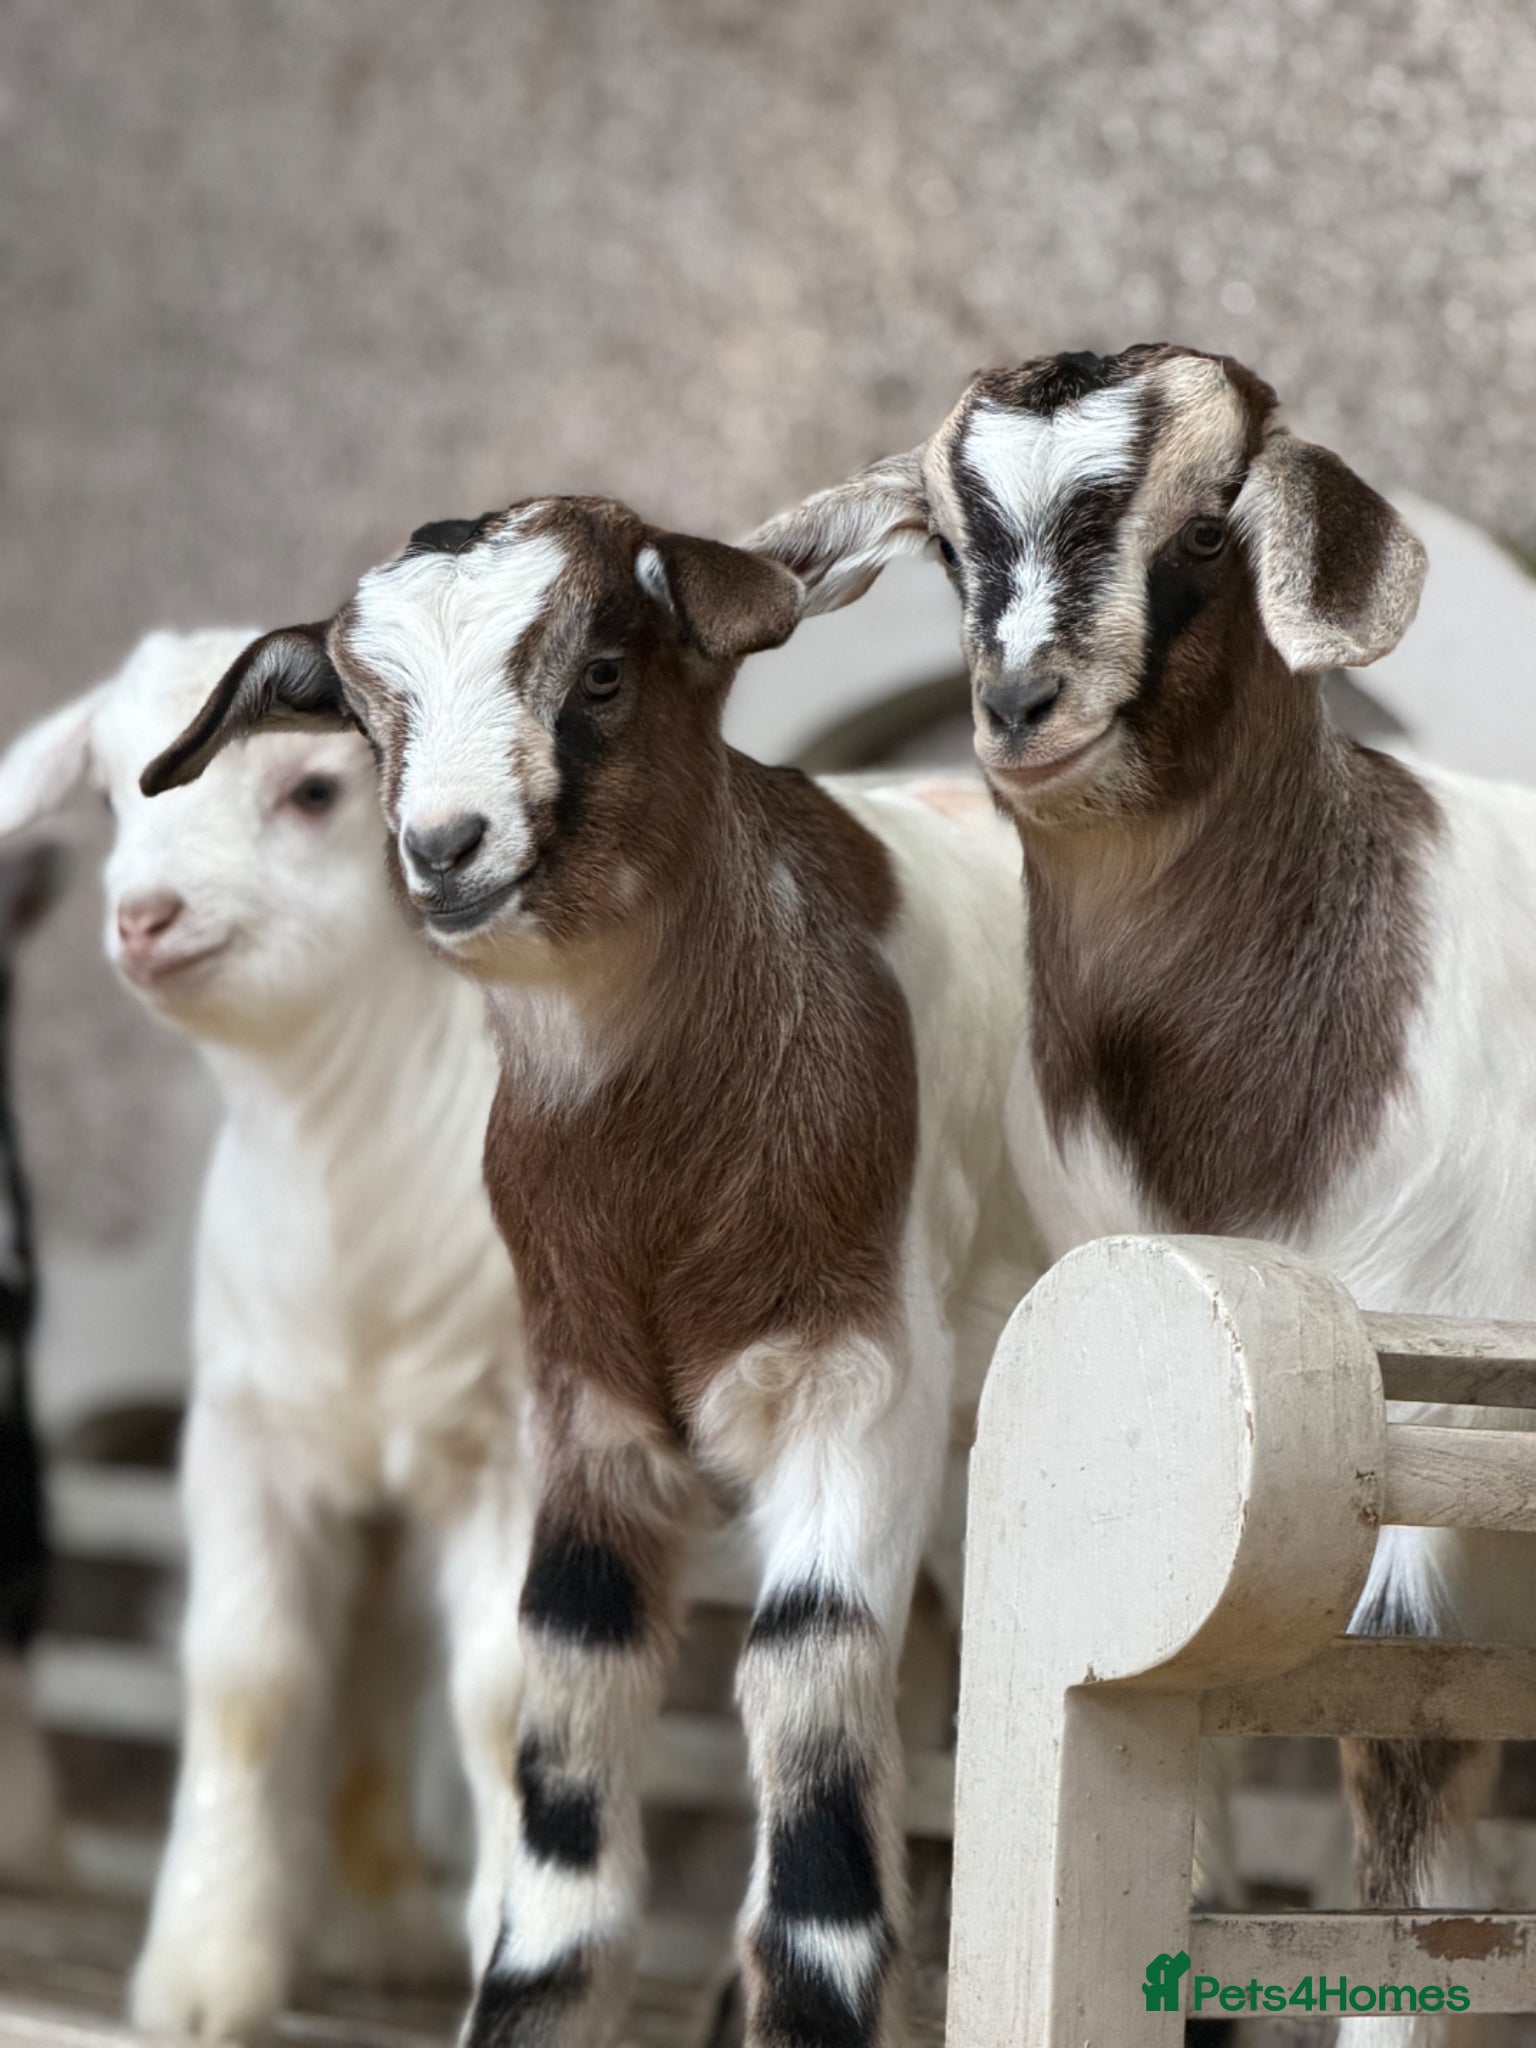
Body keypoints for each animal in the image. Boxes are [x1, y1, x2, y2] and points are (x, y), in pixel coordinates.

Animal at [0, 629, 528, 2040]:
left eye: (313, 792)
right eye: (115, 794)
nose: (144, 916)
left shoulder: (514, 1445)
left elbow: (503, 1696)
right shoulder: (245, 1434)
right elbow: (247, 1682)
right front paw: (204, 1967)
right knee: (378, 1667)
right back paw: (377, 1922)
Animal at [139, 502, 1041, 2048]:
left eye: (604, 673)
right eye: (372, 717)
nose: (444, 845)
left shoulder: (861, 1381)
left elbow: (805, 1676)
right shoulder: (578, 1393)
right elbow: (565, 1678)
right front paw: (535, 1998)